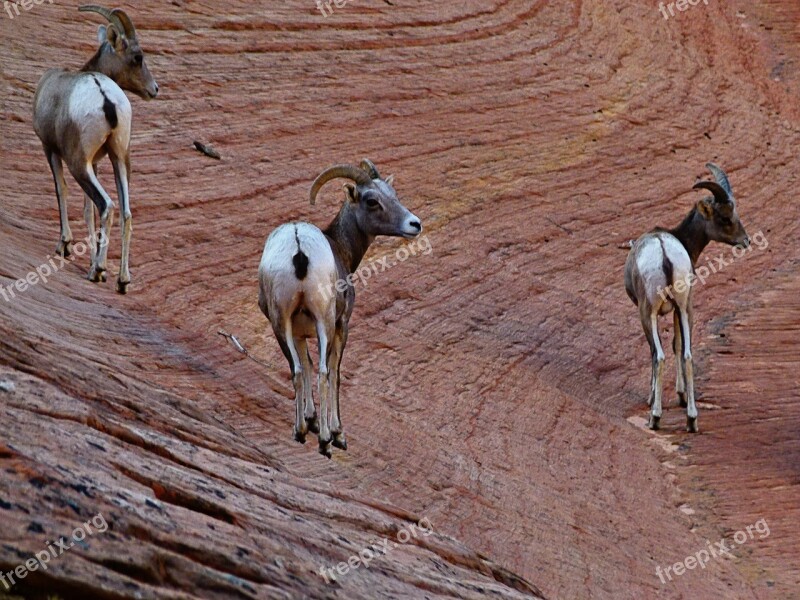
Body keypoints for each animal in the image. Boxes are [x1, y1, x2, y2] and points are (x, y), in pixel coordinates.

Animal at [33, 5, 158, 292]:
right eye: (138, 57)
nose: (154, 89)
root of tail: (105, 98)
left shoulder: (51, 150)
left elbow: (62, 191)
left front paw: (65, 246)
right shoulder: (98, 161)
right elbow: (87, 210)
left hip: (78, 164)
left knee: (107, 205)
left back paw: (99, 271)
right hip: (120, 159)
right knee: (125, 212)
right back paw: (122, 280)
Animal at [260, 158, 424, 454]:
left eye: (393, 195)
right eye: (372, 201)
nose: (414, 224)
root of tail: (298, 244)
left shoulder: (299, 332)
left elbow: (306, 365)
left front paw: (311, 420)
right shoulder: (342, 324)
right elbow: (334, 372)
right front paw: (337, 433)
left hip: (280, 323)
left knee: (297, 371)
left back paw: (300, 431)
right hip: (324, 320)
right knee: (325, 372)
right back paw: (326, 440)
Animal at [624, 164, 752, 432]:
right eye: (725, 218)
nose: (745, 241)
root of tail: (663, 253)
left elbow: (658, 351)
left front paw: (654, 399)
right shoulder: (677, 309)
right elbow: (678, 345)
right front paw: (682, 398)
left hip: (648, 312)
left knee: (658, 355)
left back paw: (655, 417)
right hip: (686, 308)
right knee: (688, 354)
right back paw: (692, 419)